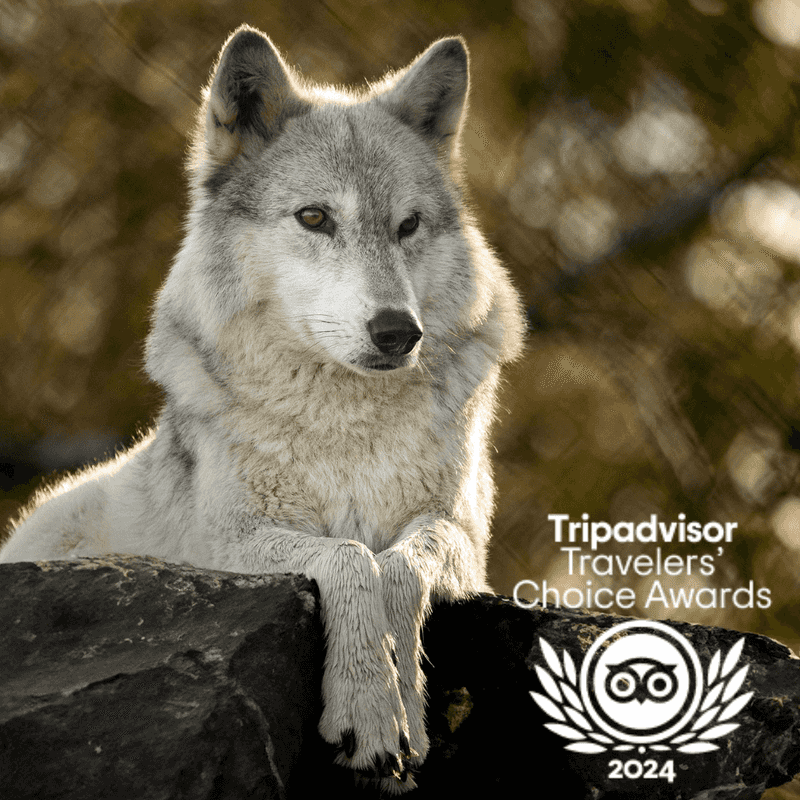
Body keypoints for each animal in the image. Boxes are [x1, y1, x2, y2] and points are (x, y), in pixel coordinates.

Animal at [0, 25, 525, 793]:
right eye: (314, 217)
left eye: (408, 226)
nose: (398, 331)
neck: (346, 430)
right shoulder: (228, 540)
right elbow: (349, 559)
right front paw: (369, 712)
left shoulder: (460, 534)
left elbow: (398, 567)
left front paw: (401, 707)